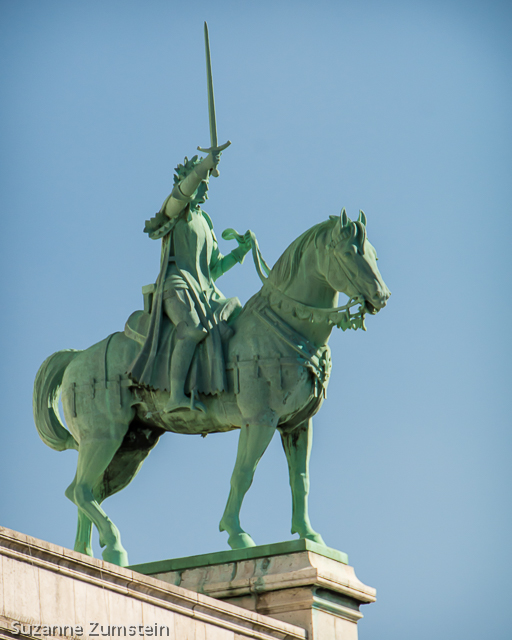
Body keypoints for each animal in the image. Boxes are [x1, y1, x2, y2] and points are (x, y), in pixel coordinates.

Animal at [34, 208, 390, 568]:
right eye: (350, 252)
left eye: (373, 254)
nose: (382, 296)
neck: (283, 328)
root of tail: (78, 356)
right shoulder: (259, 421)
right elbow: (243, 474)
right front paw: (237, 535)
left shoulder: (297, 425)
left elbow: (299, 480)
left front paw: (310, 536)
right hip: (104, 437)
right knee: (79, 491)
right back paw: (115, 547)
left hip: (129, 447)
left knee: (86, 491)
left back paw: (88, 556)